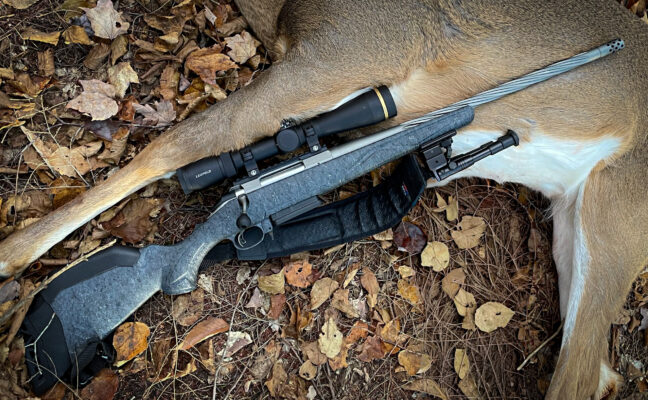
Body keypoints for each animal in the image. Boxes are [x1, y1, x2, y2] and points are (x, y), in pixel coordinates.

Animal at [1, 0, 646, 398]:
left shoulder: (339, 55)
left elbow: (173, 144)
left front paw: (11, 251)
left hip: (614, 220)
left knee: (587, 373)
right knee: (599, 372)